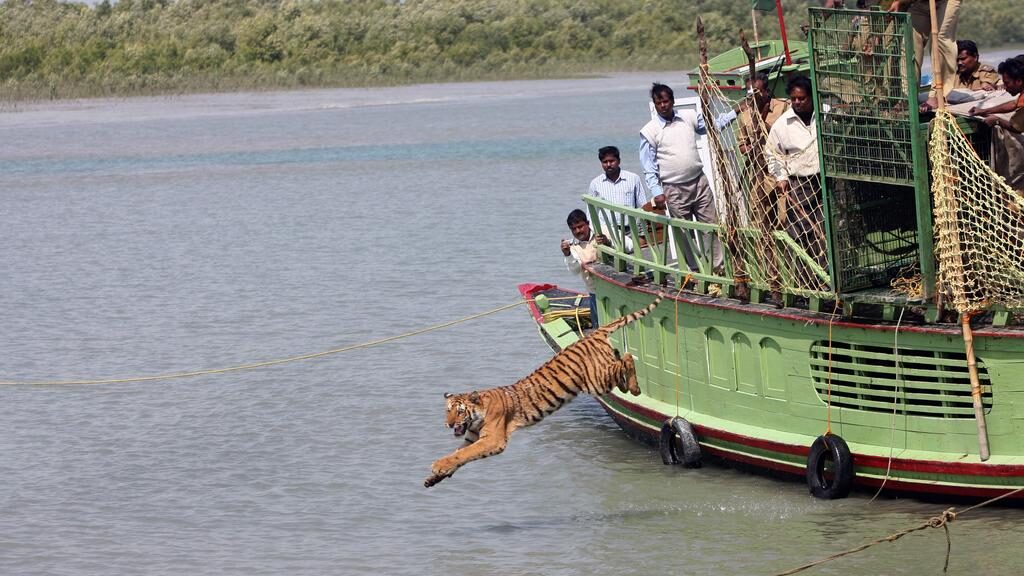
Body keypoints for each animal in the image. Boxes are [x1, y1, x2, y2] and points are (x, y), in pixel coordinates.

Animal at [423, 295, 662, 488]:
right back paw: (627, 386)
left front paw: (437, 466)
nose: (448, 424)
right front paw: (434, 478)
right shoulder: (472, 438)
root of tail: (593, 334)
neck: (476, 417)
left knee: (628, 357)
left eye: (459, 411)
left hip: (597, 381)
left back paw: (634, 387)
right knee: (620, 359)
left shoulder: (492, 440)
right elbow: (459, 454)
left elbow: (462, 454)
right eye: (447, 411)